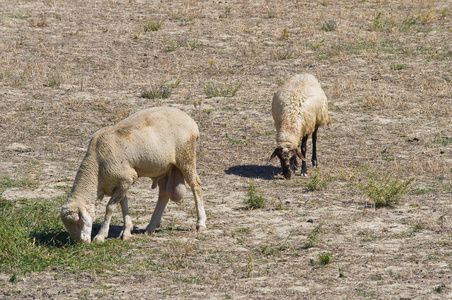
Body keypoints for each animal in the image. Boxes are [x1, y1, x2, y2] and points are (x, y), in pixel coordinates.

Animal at [60, 106, 207, 243]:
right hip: (164, 167)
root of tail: (190, 120)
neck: (96, 168)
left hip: (186, 156)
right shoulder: (121, 182)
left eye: (78, 222)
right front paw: (127, 231)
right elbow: (123, 203)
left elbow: (110, 208)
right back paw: (151, 227)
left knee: (196, 185)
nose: (81, 243)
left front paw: (101, 235)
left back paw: (200, 223)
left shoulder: (127, 178)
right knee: (164, 194)